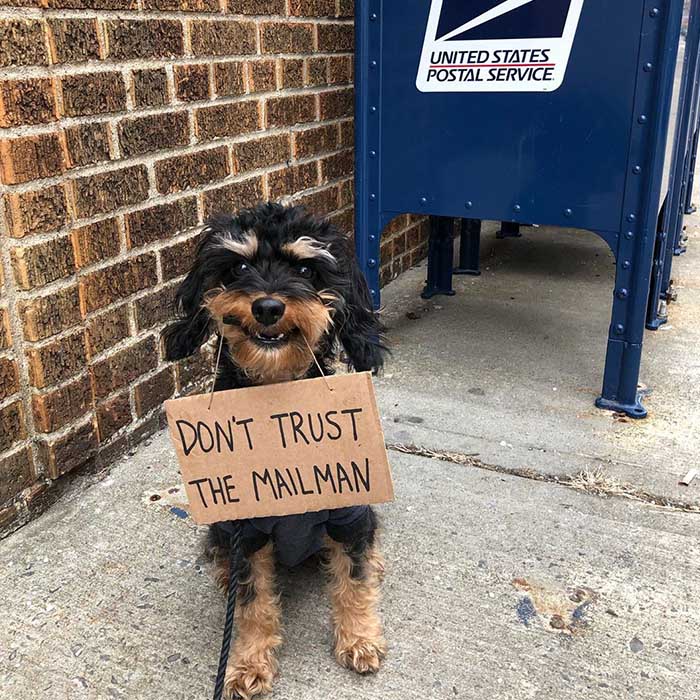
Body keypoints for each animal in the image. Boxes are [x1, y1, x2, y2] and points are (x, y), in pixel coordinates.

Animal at [163, 202, 388, 700]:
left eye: (305, 269)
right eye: (240, 267)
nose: (267, 306)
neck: (277, 393)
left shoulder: (350, 509)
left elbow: (354, 579)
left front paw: (359, 638)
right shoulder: (244, 529)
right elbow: (251, 603)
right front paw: (248, 663)